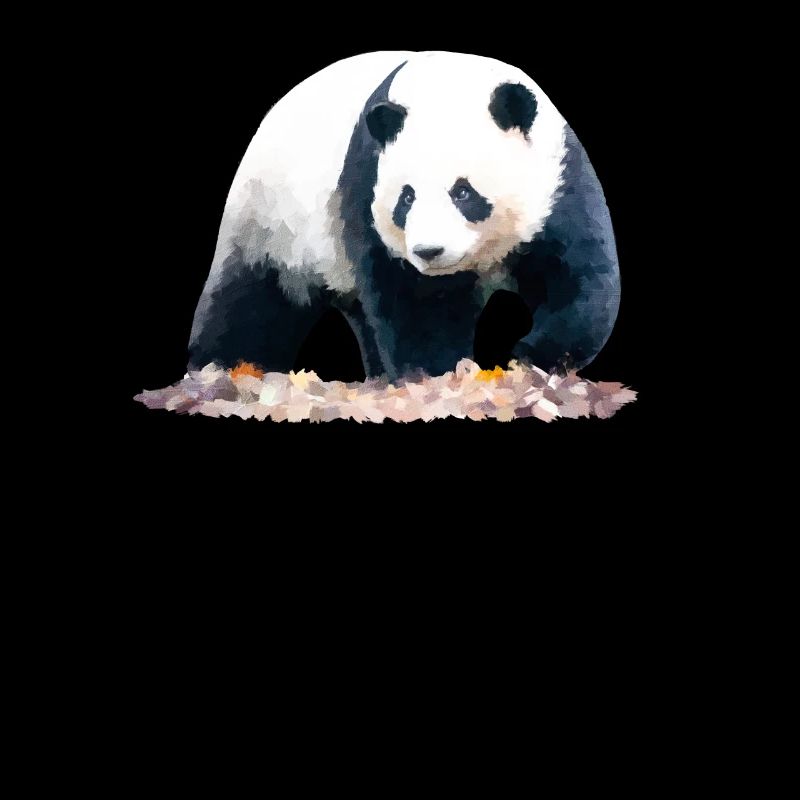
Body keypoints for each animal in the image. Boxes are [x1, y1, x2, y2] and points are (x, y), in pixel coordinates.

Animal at [189, 51, 620, 380]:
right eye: (406, 198)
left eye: (463, 192)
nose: (430, 251)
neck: (446, 84)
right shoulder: (368, 183)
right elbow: (418, 301)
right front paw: (436, 375)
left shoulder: (558, 180)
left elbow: (579, 275)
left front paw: (532, 353)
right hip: (270, 221)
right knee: (253, 303)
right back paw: (221, 367)